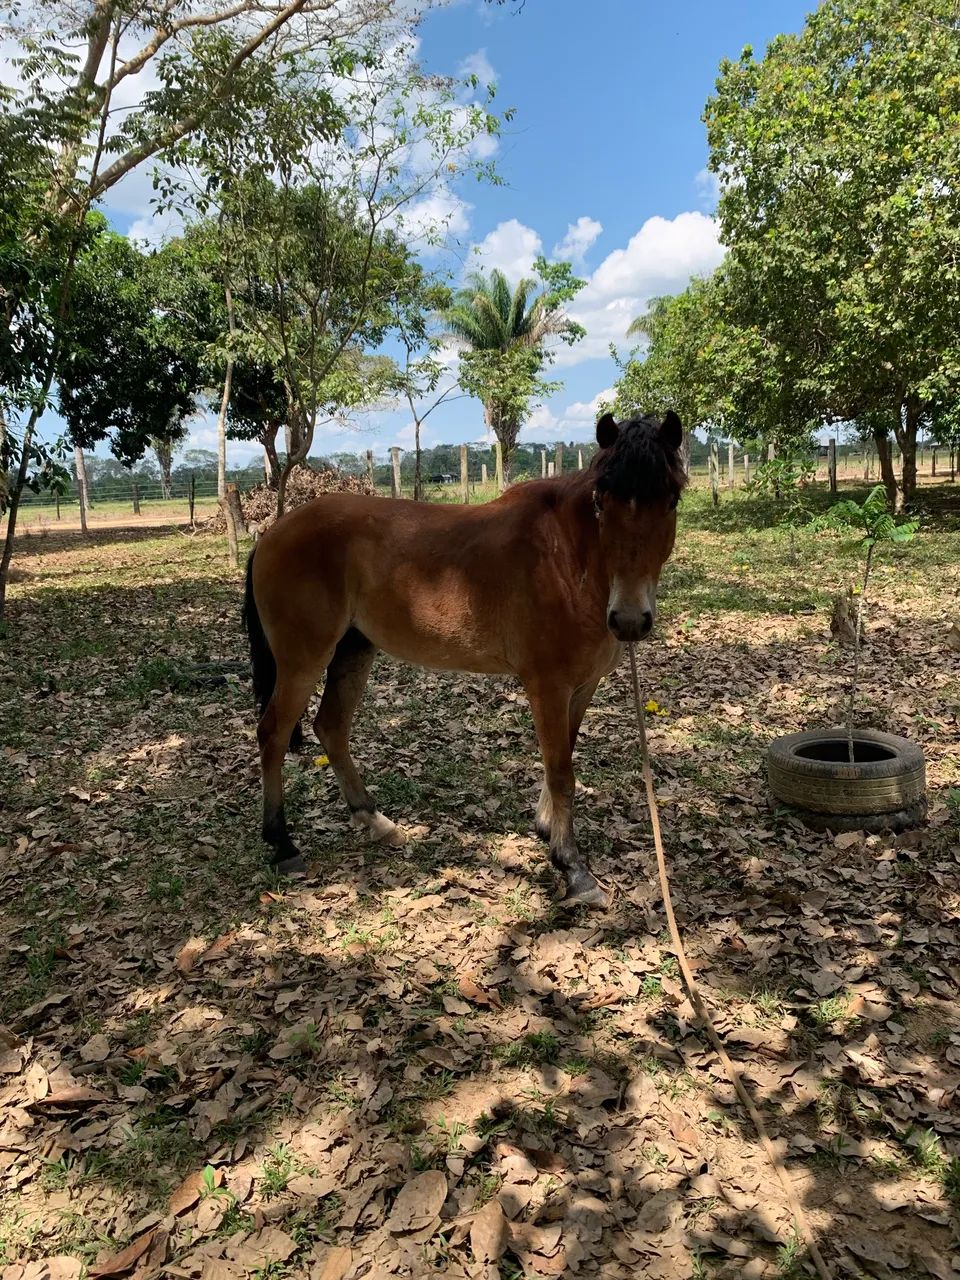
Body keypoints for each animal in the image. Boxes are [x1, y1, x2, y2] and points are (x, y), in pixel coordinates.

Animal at [242, 410, 686, 909]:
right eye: (600, 503)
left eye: (671, 499)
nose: (629, 619)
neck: (564, 559)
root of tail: (273, 533)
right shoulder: (548, 686)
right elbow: (561, 771)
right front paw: (573, 867)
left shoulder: (582, 685)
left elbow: (564, 756)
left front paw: (547, 830)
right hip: (303, 660)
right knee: (273, 734)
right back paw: (282, 844)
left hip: (353, 652)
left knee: (331, 728)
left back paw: (374, 820)